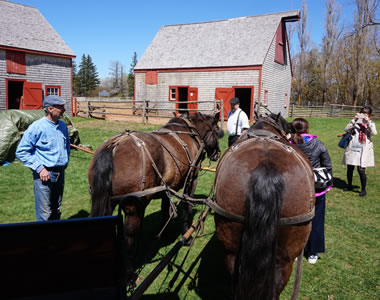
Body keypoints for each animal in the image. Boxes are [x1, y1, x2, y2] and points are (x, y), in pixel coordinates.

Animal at [88, 112, 223, 251]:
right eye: (216, 131)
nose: (218, 153)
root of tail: (114, 146)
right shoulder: (191, 181)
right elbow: (187, 206)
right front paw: (187, 236)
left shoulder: (167, 186)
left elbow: (165, 208)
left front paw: (163, 233)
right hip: (133, 208)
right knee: (129, 238)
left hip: (109, 202)